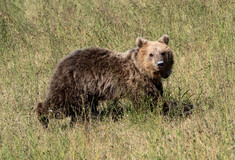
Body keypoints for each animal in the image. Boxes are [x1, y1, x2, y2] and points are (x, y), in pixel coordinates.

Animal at [35, 34, 189, 127]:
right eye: (151, 54)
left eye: (163, 52)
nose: (160, 64)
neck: (143, 70)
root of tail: (61, 63)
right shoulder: (136, 81)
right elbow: (150, 100)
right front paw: (178, 108)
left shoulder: (154, 83)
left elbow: (156, 97)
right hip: (74, 83)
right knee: (61, 104)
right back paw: (43, 119)